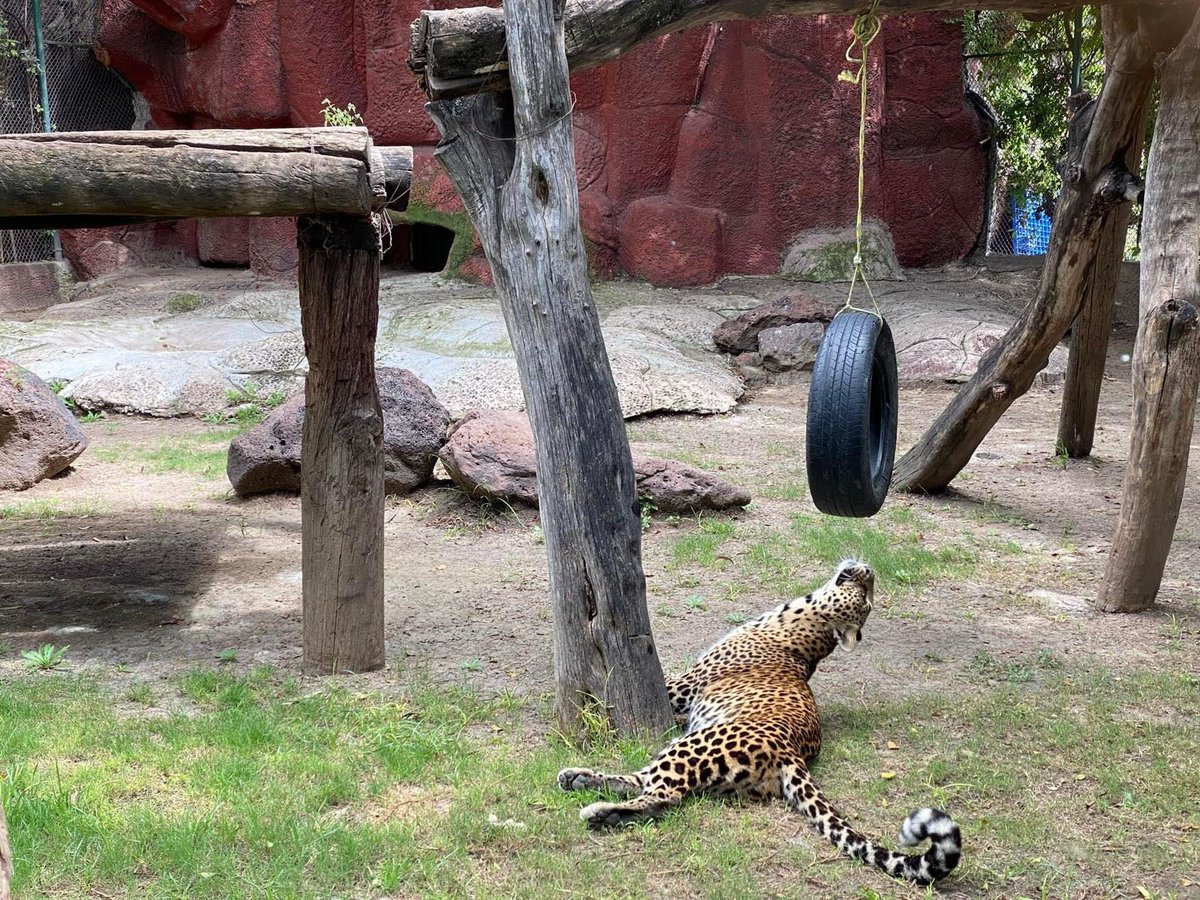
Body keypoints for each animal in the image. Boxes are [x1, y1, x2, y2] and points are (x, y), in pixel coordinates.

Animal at [556, 561, 960, 883]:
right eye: (868, 594)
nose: (869, 570)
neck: (807, 621)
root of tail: (791, 753)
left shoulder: (682, 687)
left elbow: (665, 679)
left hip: (695, 743)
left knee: (664, 797)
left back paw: (598, 811)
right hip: (687, 747)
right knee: (644, 780)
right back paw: (579, 779)